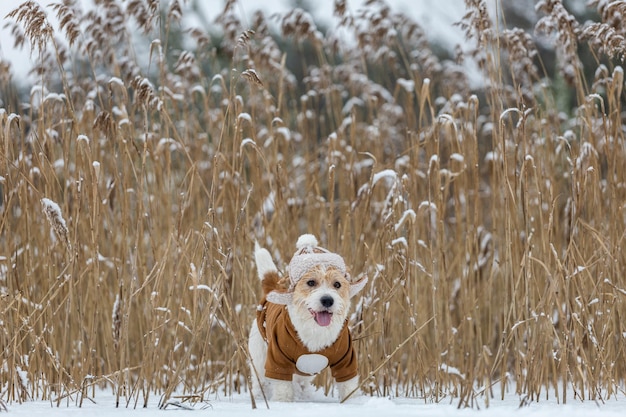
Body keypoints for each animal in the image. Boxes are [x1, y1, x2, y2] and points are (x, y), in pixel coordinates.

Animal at [247, 234, 366, 400]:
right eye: (311, 282)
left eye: (337, 284)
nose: (327, 300)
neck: (315, 330)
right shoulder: (278, 360)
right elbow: (283, 388)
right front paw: (282, 402)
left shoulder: (346, 359)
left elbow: (348, 386)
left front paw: (352, 402)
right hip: (259, 358)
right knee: (261, 382)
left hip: (304, 370)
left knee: (300, 382)